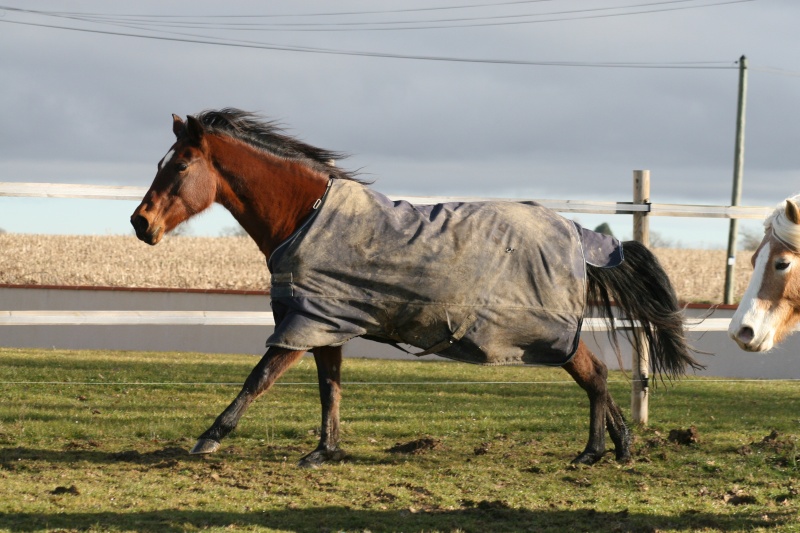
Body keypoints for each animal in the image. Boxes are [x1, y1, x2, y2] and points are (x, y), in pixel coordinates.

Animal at [130, 108, 700, 466]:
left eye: (180, 165)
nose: (140, 223)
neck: (307, 215)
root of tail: (576, 234)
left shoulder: (304, 324)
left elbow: (259, 378)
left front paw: (209, 439)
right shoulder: (327, 324)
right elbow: (330, 389)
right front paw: (324, 452)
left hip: (549, 332)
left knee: (595, 375)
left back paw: (594, 451)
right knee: (596, 376)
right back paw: (619, 447)